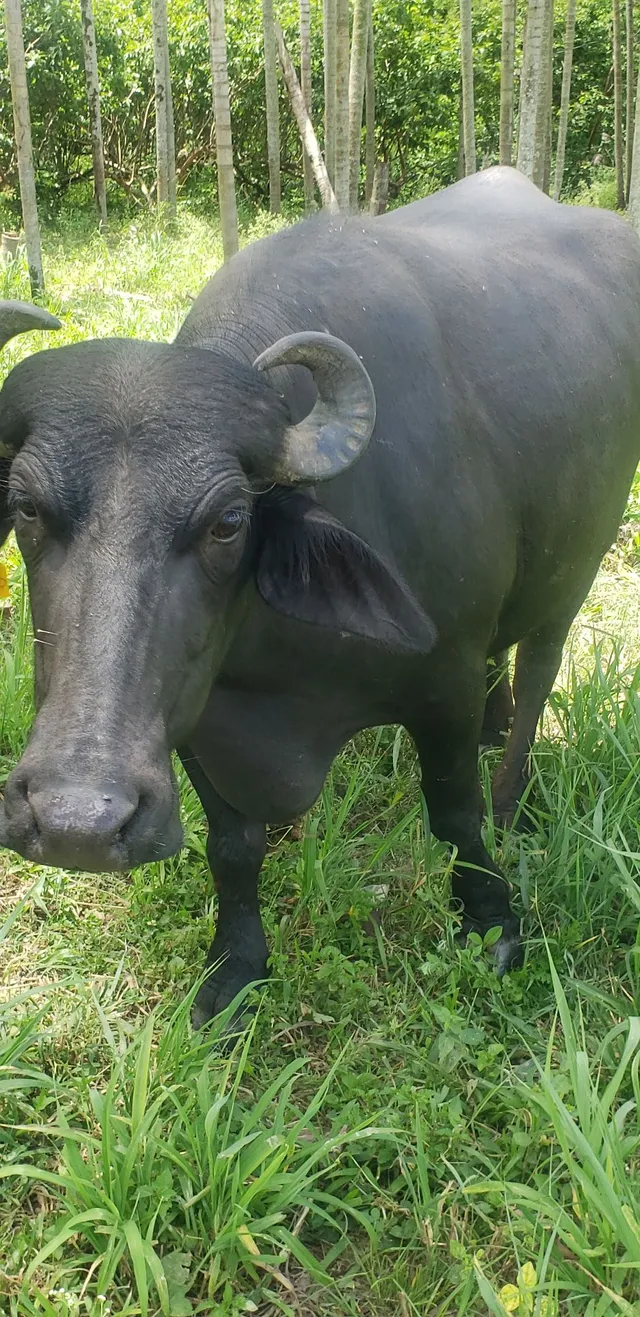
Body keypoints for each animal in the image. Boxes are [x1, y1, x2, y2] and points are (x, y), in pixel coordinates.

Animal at [0, 166, 639, 1028]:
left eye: (228, 520)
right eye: (27, 506)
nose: (77, 823)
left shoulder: (442, 682)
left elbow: (454, 812)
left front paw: (493, 924)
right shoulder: (199, 710)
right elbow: (232, 845)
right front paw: (234, 967)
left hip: (577, 562)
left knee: (538, 671)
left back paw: (515, 793)